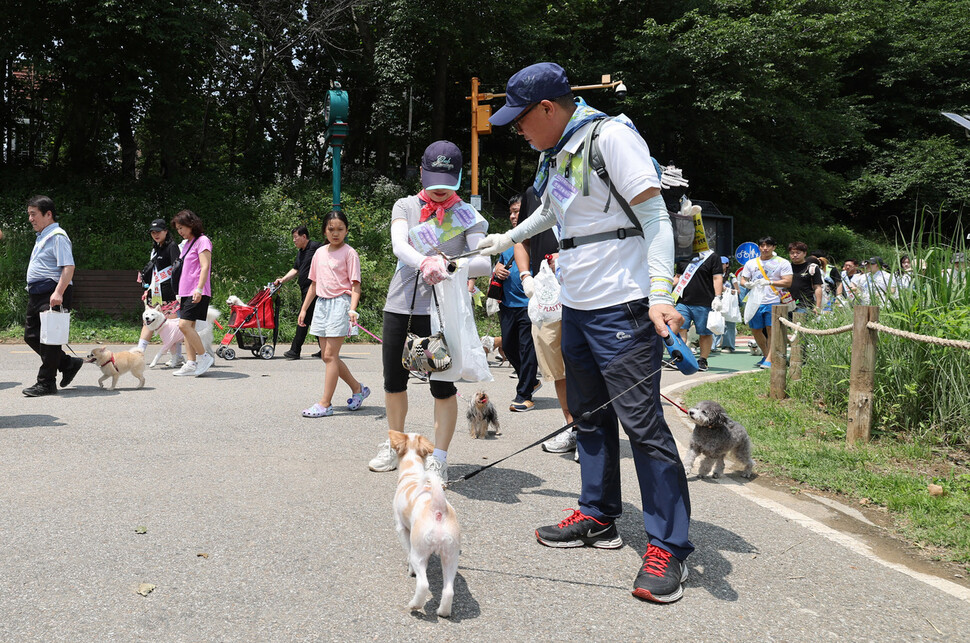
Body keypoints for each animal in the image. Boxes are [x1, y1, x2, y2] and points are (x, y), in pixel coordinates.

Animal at [388, 432, 460, 620]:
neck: (412, 472)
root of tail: (438, 509)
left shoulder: (402, 529)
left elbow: (406, 549)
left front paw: (410, 570)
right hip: (450, 557)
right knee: (448, 590)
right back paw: (443, 612)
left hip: (419, 553)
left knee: (423, 585)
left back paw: (414, 605)